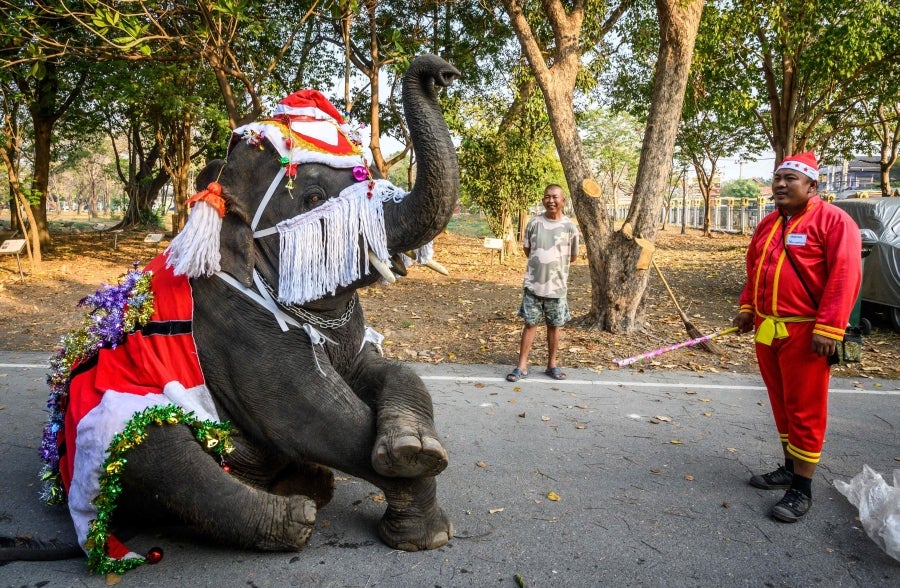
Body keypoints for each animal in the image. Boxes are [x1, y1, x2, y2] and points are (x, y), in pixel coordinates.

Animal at [16, 55, 461, 574]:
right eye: (313, 197)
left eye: (365, 176)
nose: (441, 71)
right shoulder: (235, 321)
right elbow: (312, 414)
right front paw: (425, 528)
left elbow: (379, 369)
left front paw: (414, 448)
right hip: (106, 428)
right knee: (161, 451)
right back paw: (295, 515)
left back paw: (310, 484)